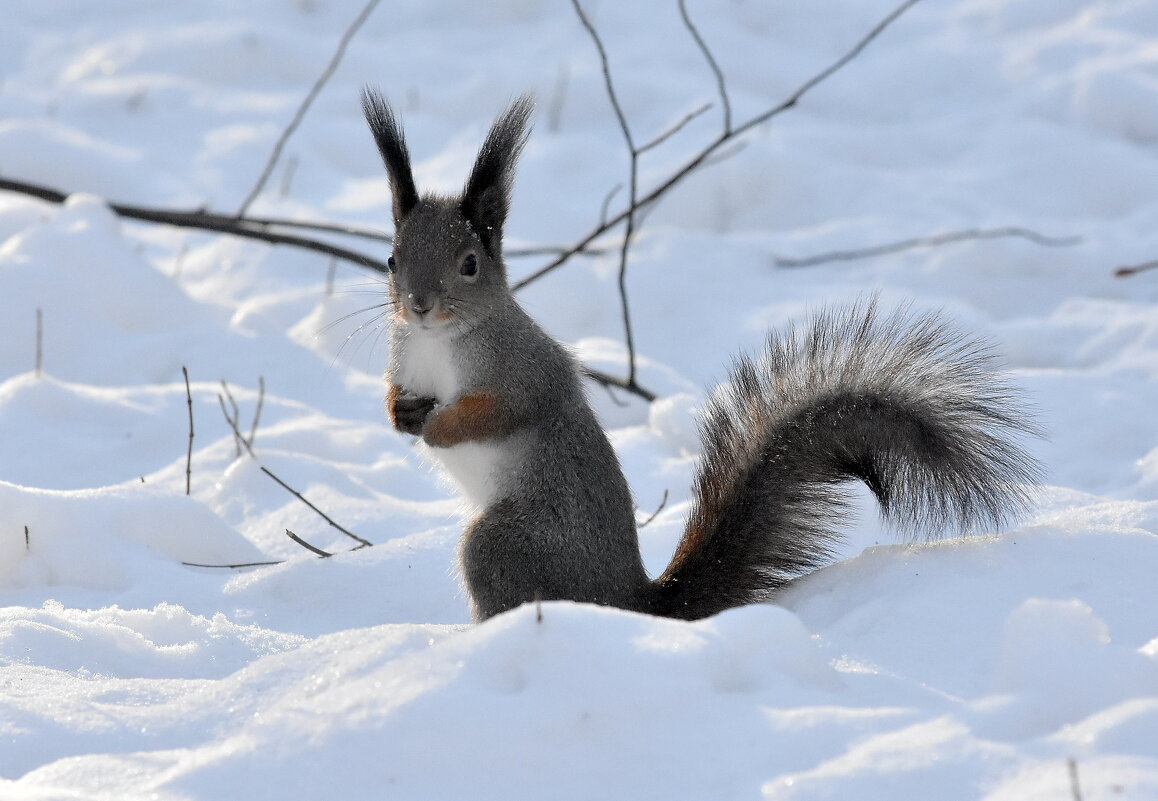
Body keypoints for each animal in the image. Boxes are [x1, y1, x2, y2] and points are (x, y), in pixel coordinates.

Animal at [361, 89, 1042, 625]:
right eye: (392, 259)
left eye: (469, 264)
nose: (419, 305)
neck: (439, 342)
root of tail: (633, 603)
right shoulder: (405, 360)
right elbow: (397, 394)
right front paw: (399, 415)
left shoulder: (525, 374)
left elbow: (501, 411)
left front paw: (440, 429)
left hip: (505, 545)